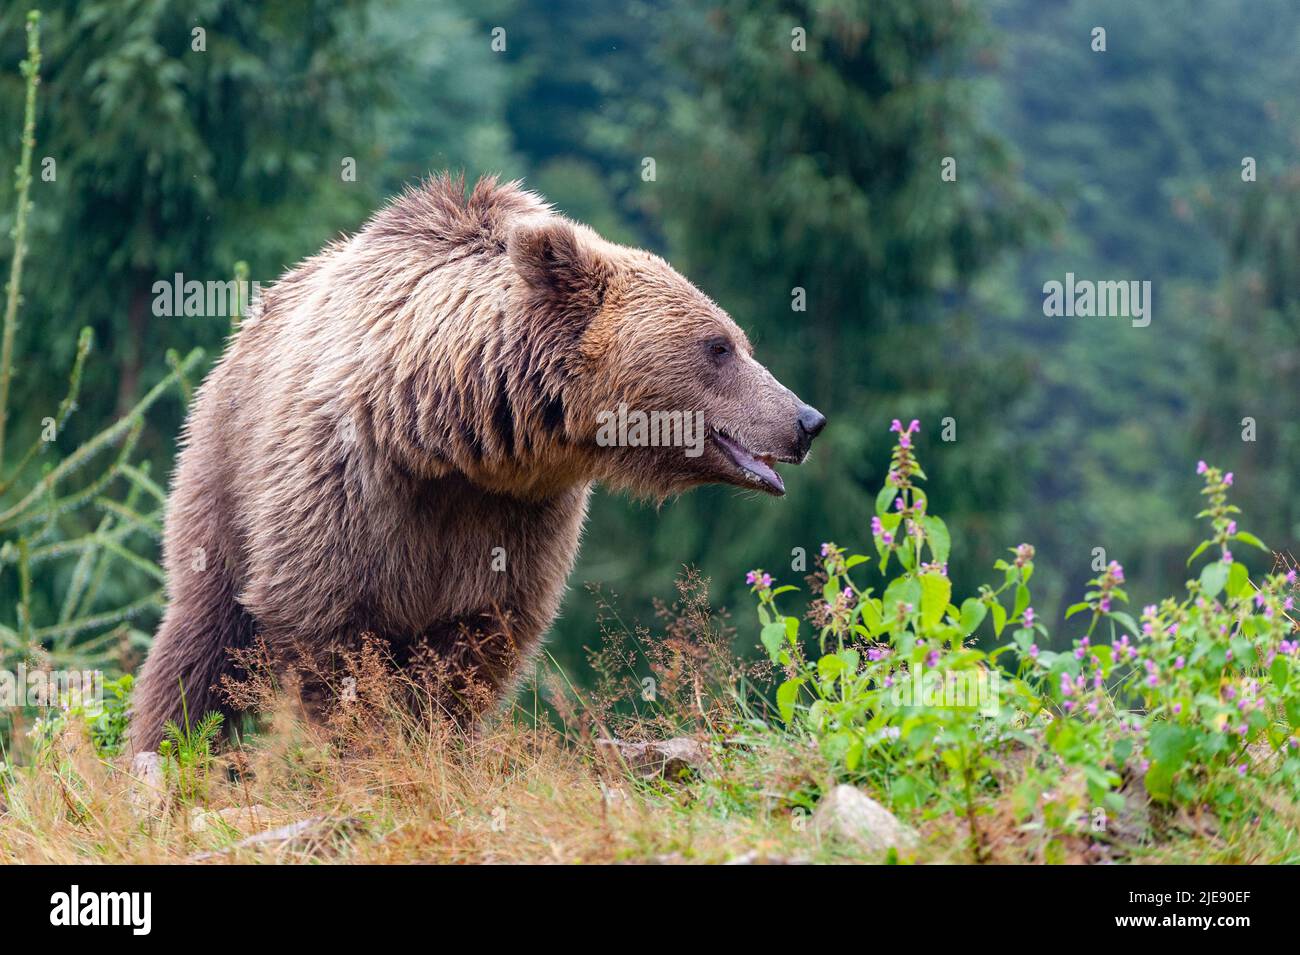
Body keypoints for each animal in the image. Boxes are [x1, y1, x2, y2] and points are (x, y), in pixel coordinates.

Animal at [128, 174, 826, 752]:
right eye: (719, 346)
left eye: (737, 341)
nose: (806, 420)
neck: (444, 437)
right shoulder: (344, 484)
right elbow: (326, 626)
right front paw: (360, 744)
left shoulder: (516, 516)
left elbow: (476, 641)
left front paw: (436, 739)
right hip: (225, 472)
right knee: (204, 637)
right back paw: (170, 746)